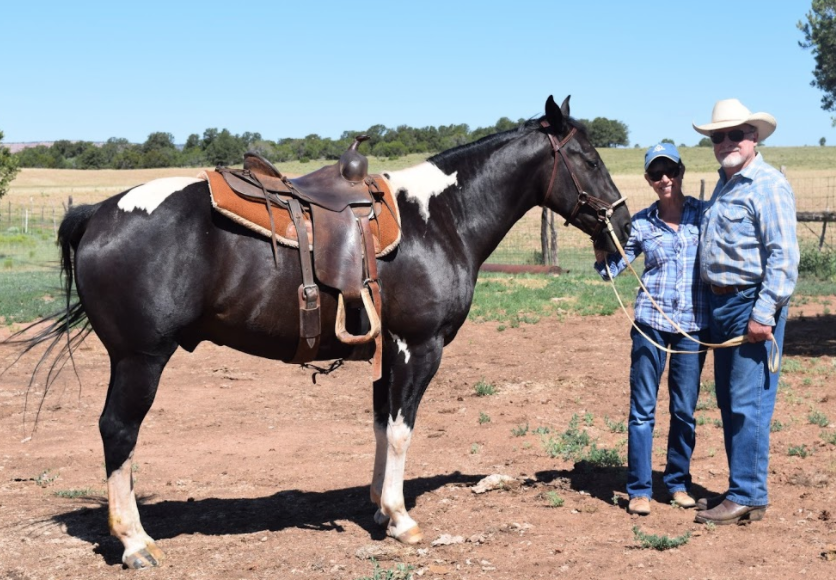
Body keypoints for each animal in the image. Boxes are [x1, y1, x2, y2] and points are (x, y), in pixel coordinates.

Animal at [18, 94, 628, 568]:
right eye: (587, 156)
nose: (622, 221)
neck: (439, 219)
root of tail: (99, 211)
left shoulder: (387, 351)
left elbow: (381, 426)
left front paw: (380, 507)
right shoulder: (419, 346)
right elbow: (402, 429)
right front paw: (402, 519)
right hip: (140, 358)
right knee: (118, 432)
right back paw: (136, 543)